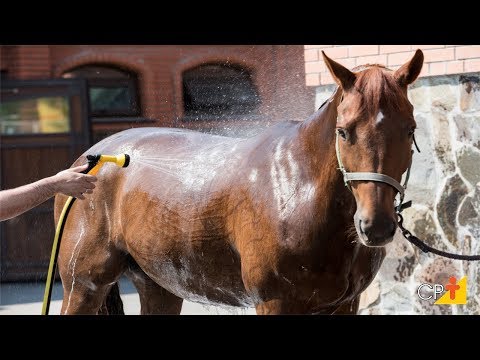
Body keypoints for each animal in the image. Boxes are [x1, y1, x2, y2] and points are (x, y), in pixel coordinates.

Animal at [56, 49, 424, 314]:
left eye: (410, 130)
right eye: (343, 131)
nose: (375, 225)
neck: (297, 192)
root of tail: (92, 159)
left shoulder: (345, 304)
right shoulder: (275, 303)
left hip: (159, 285)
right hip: (82, 285)